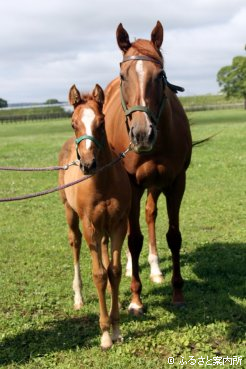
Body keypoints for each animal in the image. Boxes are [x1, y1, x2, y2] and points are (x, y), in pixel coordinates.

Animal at [58, 83, 131, 348]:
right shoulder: (90, 225)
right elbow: (99, 274)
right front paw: (105, 334)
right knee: (75, 243)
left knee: (103, 249)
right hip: (70, 213)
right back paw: (78, 297)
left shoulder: (119, 223)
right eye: (73, 123)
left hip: (104, 227)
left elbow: (114, 271)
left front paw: (117, 328)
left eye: (101, 122)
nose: (88, 165)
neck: (103, 183)